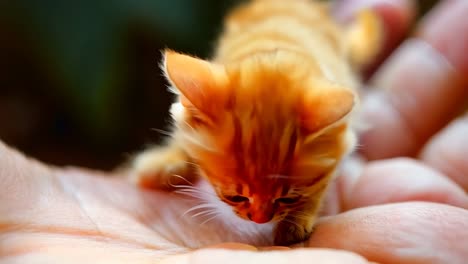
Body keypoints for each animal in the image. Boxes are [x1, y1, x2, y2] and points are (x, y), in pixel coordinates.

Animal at [129, 0, 380, 245]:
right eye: (235, 197)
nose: (260, 219)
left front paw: (296, 222)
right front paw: (167, 162)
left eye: (288, 199)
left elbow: (321, 183)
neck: (275, 46)